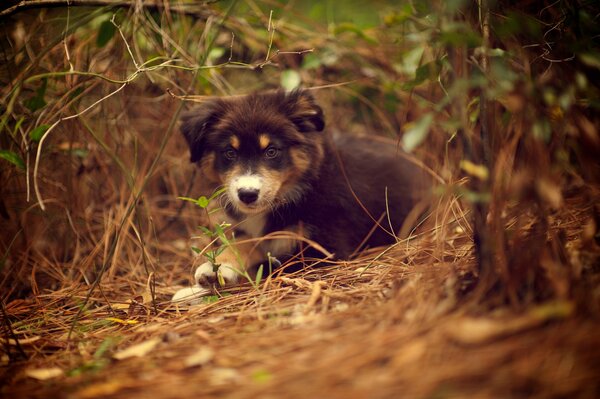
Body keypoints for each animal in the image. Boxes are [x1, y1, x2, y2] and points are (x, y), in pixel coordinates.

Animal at [172, 90, 432, 304]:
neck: (294, 193)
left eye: (271, 151)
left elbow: (268, 269)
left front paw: (194, 291)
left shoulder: (326, 252)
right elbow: (245, 244)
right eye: (229, 152)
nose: (247, 194)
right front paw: (215, 270)